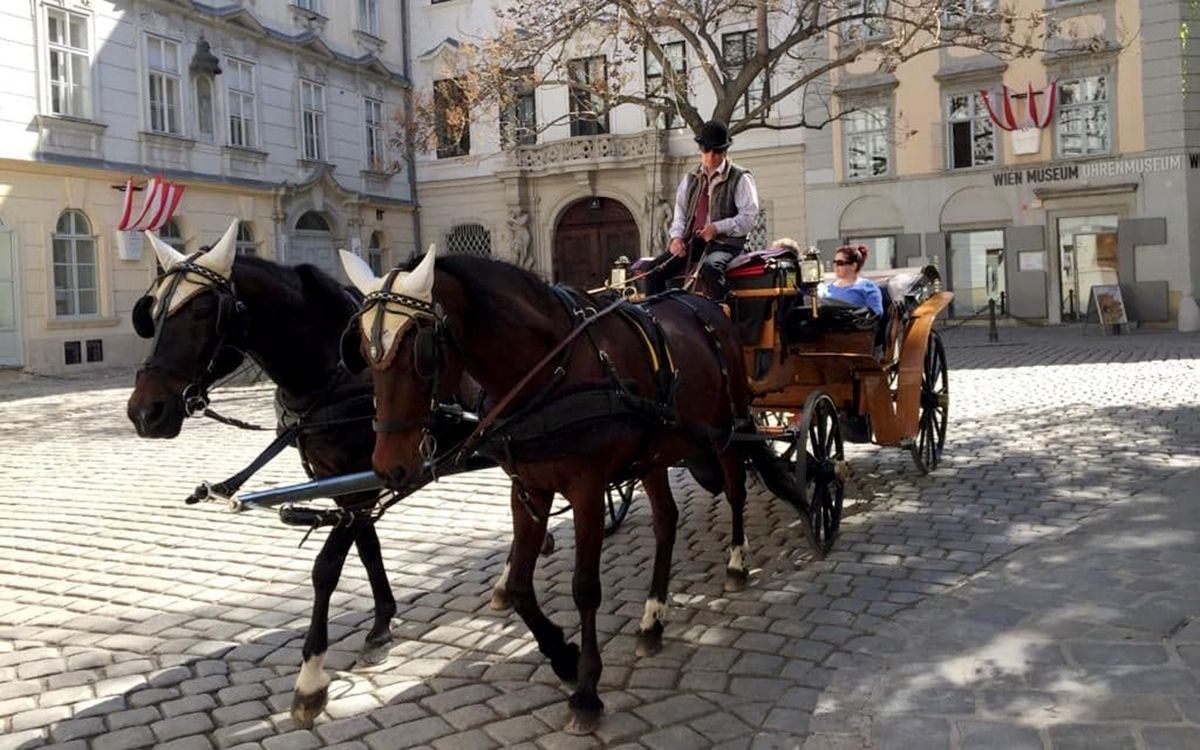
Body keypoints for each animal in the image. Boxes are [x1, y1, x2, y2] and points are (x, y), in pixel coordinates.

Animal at [343, 247, 820, 729]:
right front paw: (562, 657)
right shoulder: (528, 489)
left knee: (737, 489)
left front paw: (588, 688)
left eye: (421, 352)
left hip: (728, 423)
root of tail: (701, 302)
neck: (549, 373)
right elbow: (520, 586)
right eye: (362, 352)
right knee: (666, 521)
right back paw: (652, 619)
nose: (388, 467)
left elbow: (585, 587)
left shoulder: (587, 490)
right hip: (655, 450)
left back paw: (738, 564)